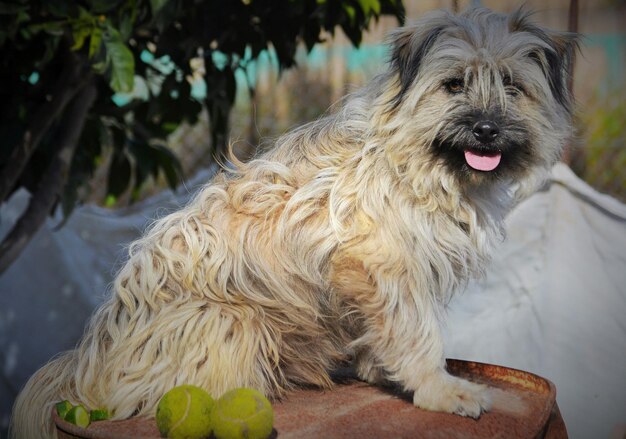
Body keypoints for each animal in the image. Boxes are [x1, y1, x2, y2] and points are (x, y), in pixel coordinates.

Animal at [11, 6, 576, 439]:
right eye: (454, 84)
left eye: (512, 86)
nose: (486, 129)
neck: (413, 162)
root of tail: (87, 363)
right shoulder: (381, 263)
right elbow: (414, 331)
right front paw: (440, 389)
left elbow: (383, 329)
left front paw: (384, 371)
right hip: (228, 317)